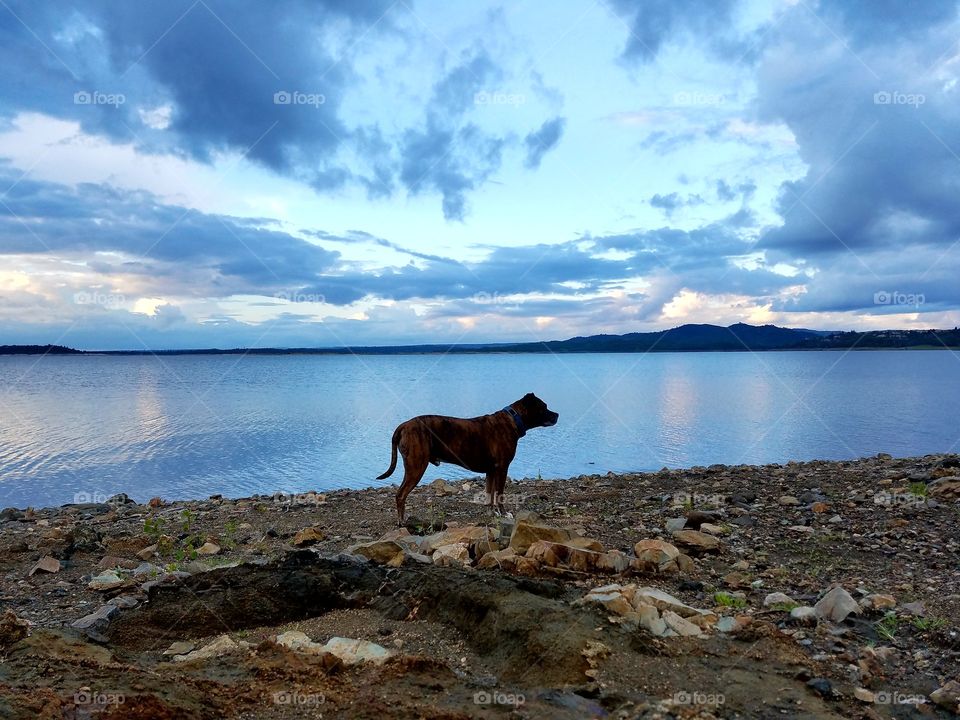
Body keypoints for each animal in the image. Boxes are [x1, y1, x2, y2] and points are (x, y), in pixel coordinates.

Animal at [376, 394, 556, 524]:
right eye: (544, 407)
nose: (557, 415)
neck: (513, 419)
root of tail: (403, 426)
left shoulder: (491, 471)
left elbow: (490, 494)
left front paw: (492, 513)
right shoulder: (502, 468)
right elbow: (499, 494)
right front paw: (504, 513)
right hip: (416, 467)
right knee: (401, 495)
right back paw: (401, 521)